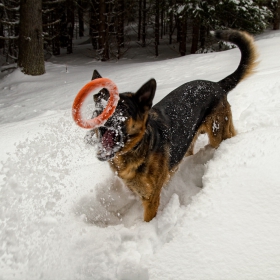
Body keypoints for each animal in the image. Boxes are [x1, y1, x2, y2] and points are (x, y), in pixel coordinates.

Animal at [86, 29, 258, 222]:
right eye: (101, 104)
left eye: (122, 109)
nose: (100, 116)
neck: (139, 147)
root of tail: (217, 84)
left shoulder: (151, 199)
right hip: (190, 142)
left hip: (218, 135)